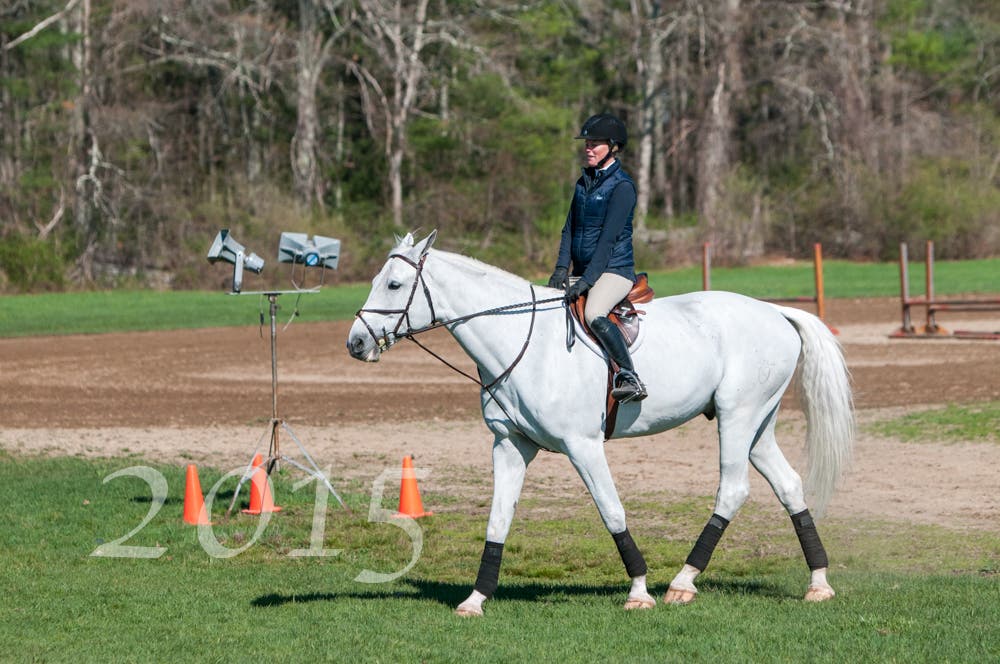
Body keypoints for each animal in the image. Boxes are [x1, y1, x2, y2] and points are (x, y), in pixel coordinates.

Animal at [347, 231, 854, 617]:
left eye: (394, 285)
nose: (356, 344)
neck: (521, 341)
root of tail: (775, 311)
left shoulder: (583, 445)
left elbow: (612, 511)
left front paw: (639, 593)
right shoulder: (510, 445)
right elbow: (498, 519)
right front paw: (475, 599)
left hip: (737, 416)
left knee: (732, 489)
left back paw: (682, 582)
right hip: (757, 425)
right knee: (788, 485)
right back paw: (818, 583)